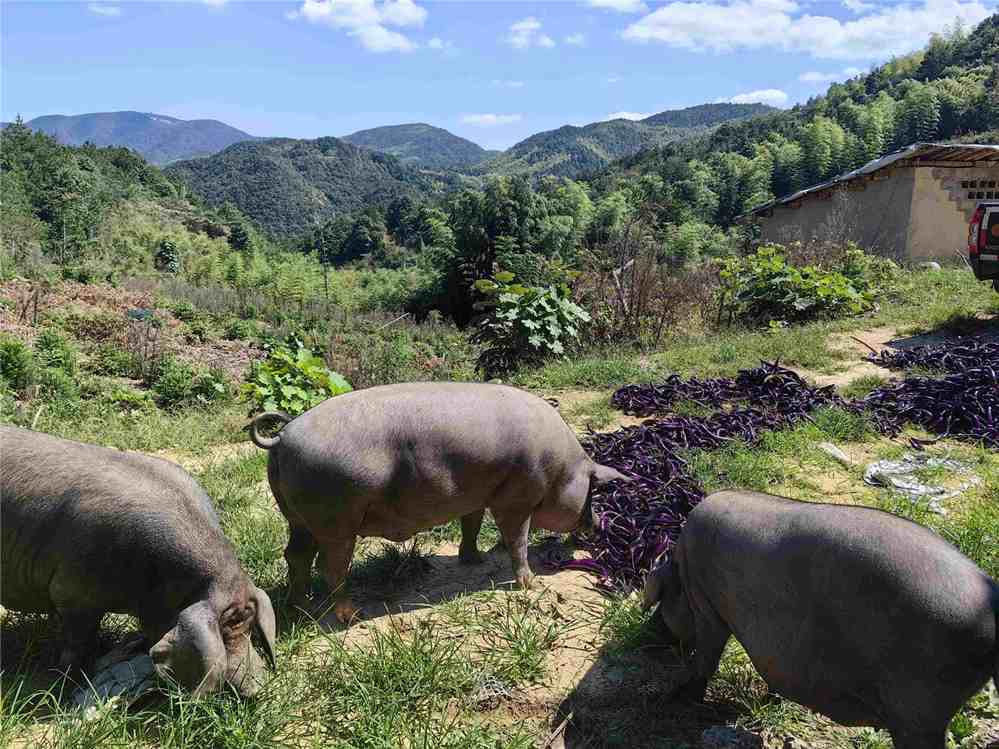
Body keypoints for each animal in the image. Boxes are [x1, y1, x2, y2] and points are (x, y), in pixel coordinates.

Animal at [0, 426, 278, 696]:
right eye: (225, 629)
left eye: (249, 626)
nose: (257, 688)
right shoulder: (71, 593)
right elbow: (77, 642)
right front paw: (67, 680)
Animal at [250, 382, 624, 624]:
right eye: (592, 492)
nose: (596, 525)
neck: (560, 470)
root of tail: (283, 437)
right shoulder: (517, 498)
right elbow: (517, 539)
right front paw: (531, 584)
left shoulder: (476, 494)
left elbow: (472, 523)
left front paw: (473, 560)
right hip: (336, 519)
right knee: (330, 566)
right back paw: (351, 615)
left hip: (297, 518)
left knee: (295, 556)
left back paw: (300, 608)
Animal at [640, 488, 999, 744]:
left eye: (662, 599)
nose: (647, 637)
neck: (683, 569)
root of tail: (991, 603)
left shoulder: (707, 606)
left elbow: (706, 658)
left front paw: (677, 699)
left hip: (918, 708)